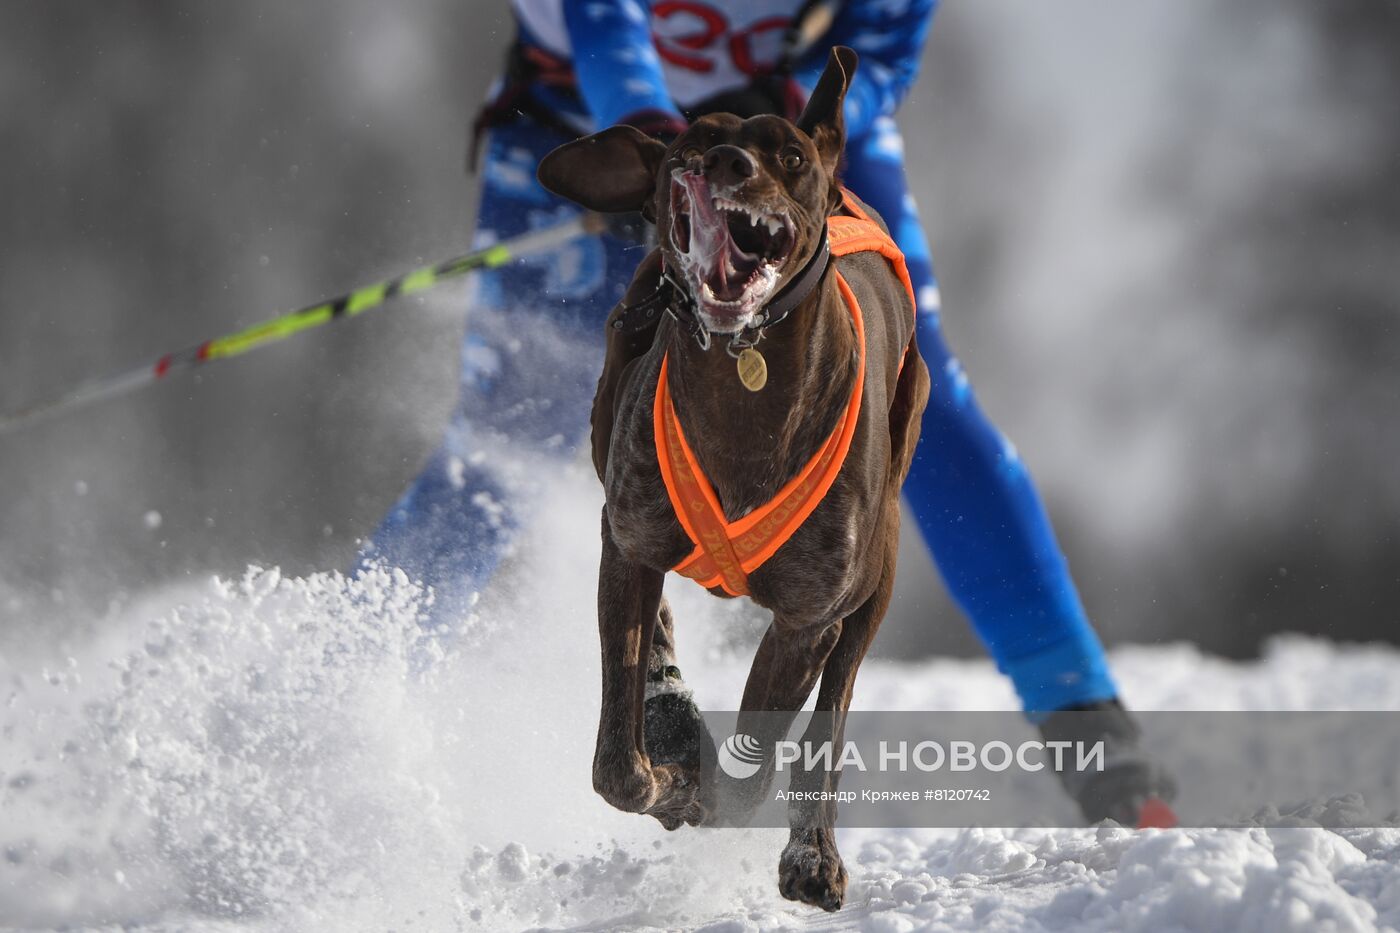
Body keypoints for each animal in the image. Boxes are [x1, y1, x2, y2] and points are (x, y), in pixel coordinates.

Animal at [534, 49, 929, 907]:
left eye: (788, 156)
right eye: (687, 149)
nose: (725, 164)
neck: (746, 393)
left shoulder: (809, 617)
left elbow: (756, 764)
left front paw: (714, 790)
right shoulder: (632, 540)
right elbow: (617, 762)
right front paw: (668, 757)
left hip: (876, 575)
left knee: (831, 716)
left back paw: (812, 851)